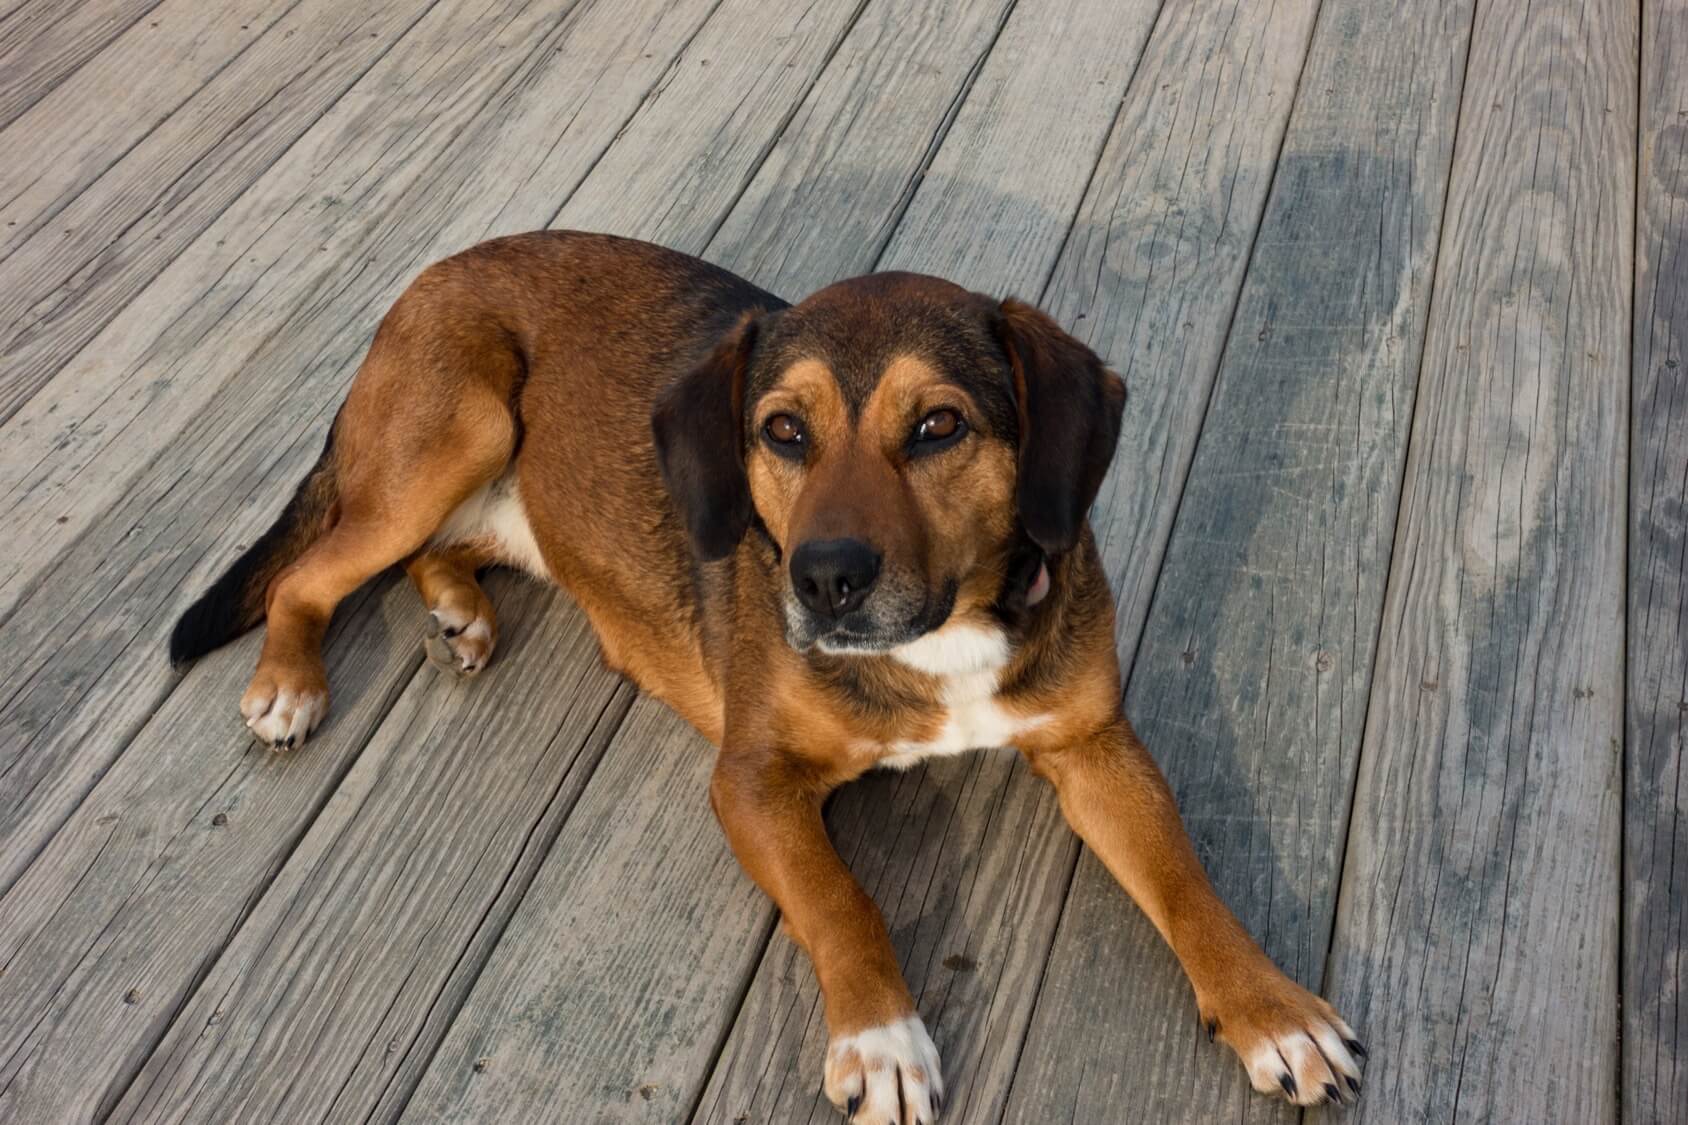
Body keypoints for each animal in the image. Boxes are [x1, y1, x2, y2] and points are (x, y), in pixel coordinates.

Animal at [171, 228, 1363, 1114]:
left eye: (939, 426)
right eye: (783, 432)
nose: (824, 578)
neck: (937, 639)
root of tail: (439, 268)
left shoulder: (1094, 746)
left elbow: (1187, 883)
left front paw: (1273, 1010)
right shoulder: (751, 781)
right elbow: (842, 900)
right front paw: (883, 1041)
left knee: (436, 549)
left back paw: (458, 608)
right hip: (458, 428)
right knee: (310, 575)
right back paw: (290, 681)